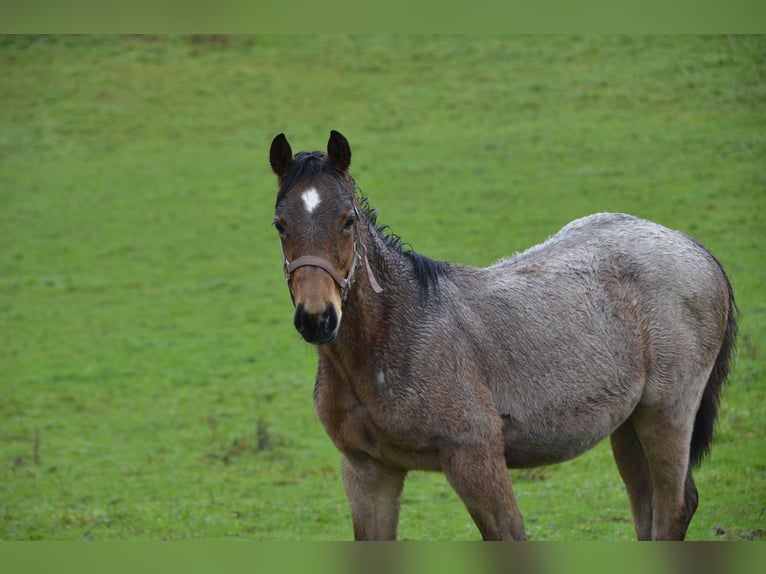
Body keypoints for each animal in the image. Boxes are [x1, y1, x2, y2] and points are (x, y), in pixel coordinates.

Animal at [268, 129, 736, 540]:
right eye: (279, 224)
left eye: (348, 220)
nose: (317, 318)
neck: (395, 335)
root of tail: (696, 249)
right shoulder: (368, 471)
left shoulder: (475, 457)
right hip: (628, 426)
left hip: (667, 413)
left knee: (674, 509)